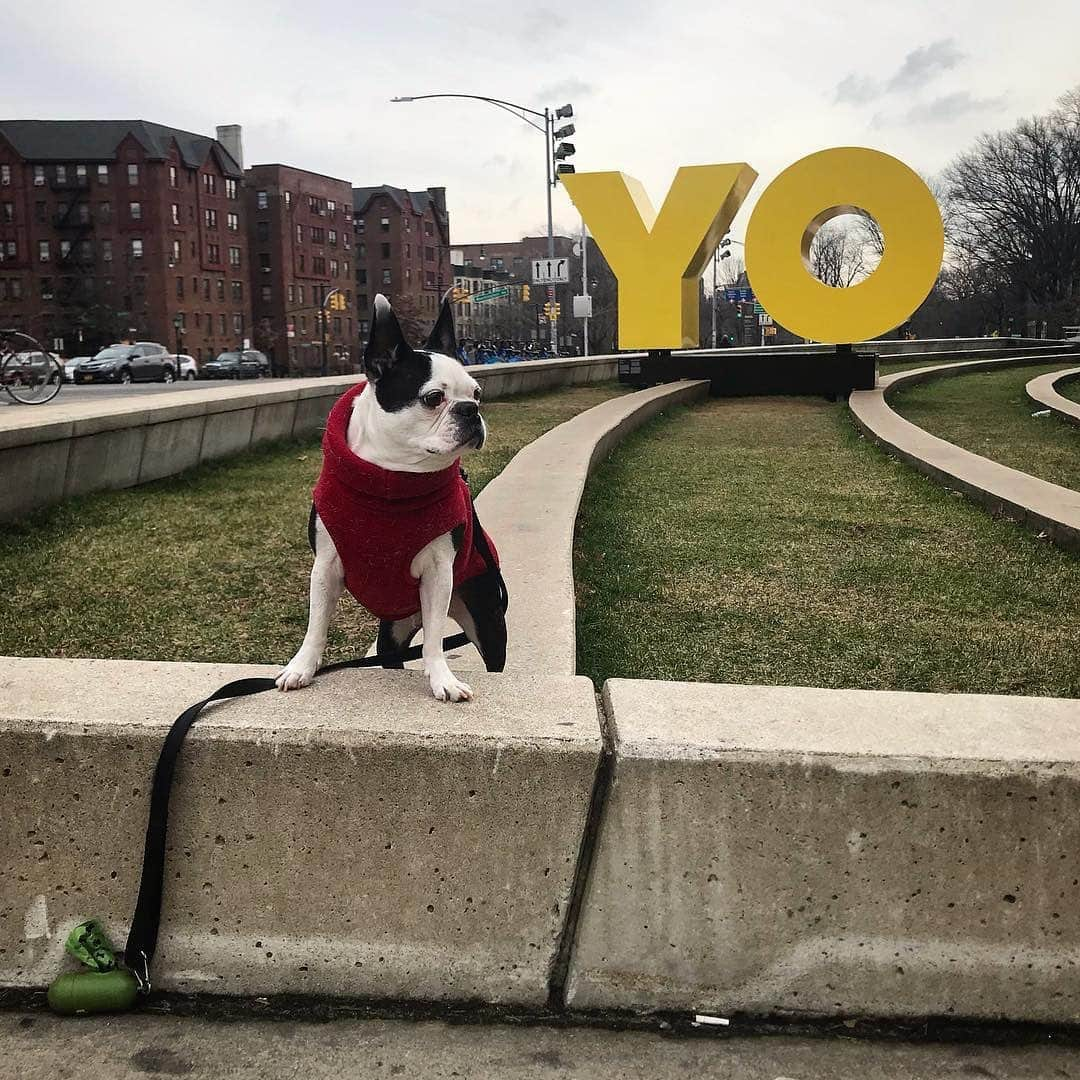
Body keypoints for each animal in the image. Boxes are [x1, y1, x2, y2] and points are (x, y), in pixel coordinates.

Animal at [282, 293, 509, 699]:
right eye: (433, 398)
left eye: (477, 394)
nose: (471, 410)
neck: (392, 479)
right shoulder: (325, 566)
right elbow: (316, 623)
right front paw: (301, 667)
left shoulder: (439, 572)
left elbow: (434, 639)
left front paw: (442, 679)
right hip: (392, 632)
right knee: (392, 654)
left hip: (486, 616)